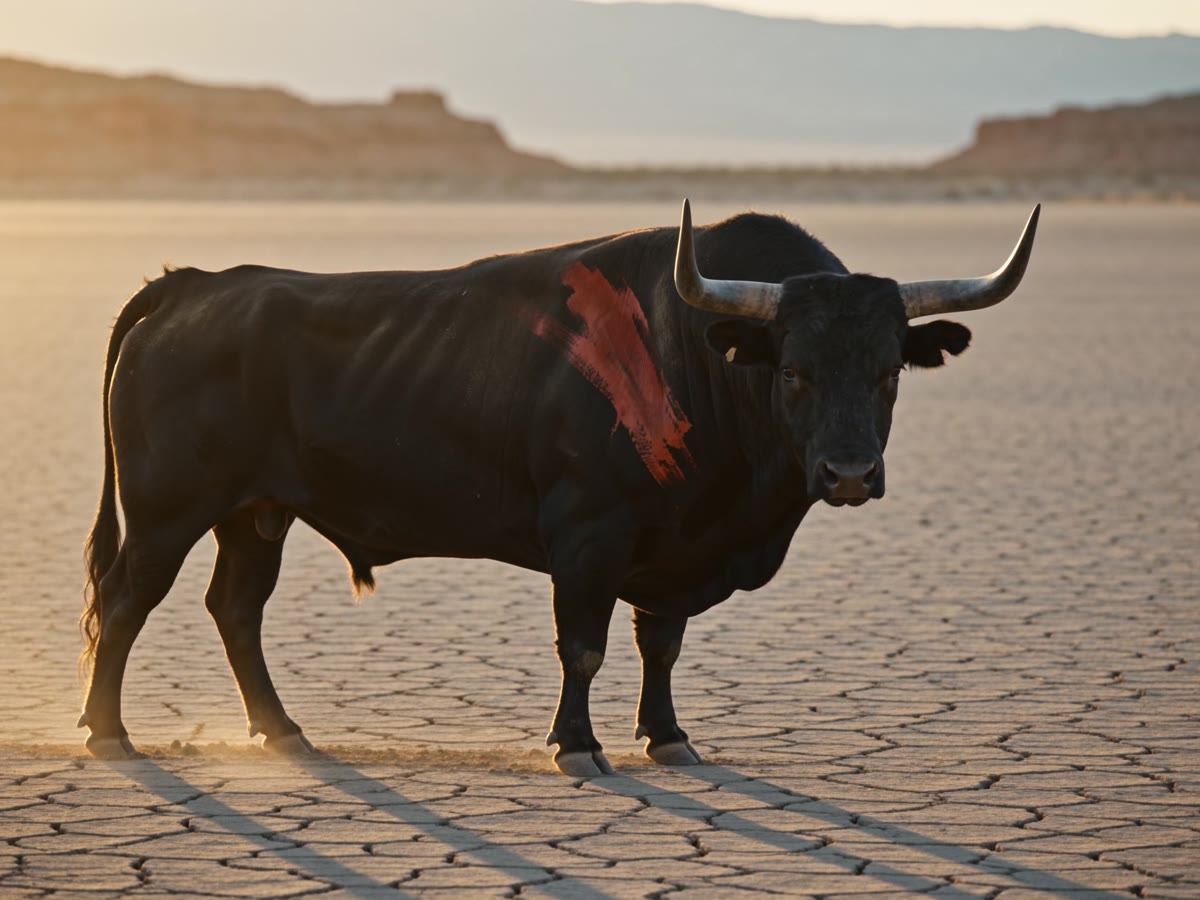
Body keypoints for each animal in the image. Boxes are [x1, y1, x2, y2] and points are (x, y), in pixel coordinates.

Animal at [79, 200, 1039, 775]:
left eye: (888, 372)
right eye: (794, 371)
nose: (848, 474)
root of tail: (197, 286)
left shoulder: (674, 552)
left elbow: (662, 648)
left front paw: (668, 736)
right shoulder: (589, 537)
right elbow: (583, 647)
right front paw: (576, 745)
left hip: (256, 513)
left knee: (236, 608)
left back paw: (281, 729)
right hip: (168, 511)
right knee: (128, 600)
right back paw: (107, 731)